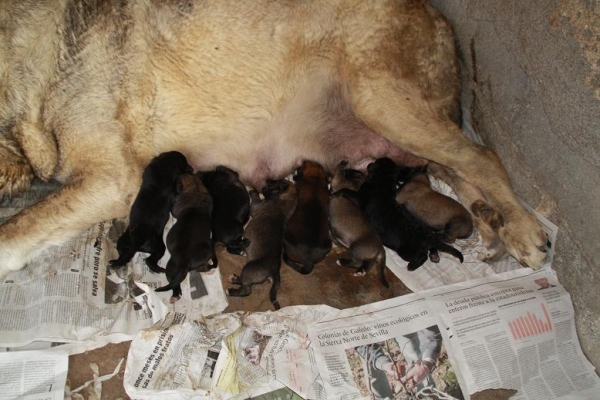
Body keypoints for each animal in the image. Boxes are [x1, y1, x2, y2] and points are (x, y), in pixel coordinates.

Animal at [0, 0, 548, 278]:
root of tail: (444, 23)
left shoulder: (115, 178)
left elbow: (15, 229)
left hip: (380, 98)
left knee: (483, 156)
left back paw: (524, 230)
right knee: (458, 166)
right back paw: (494, 223)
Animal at [156, 173, 217, 304]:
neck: (195, 186)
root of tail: (185, 262)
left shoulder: (176, 207)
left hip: (170, 269)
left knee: (175, 285)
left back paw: (175, 296)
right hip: (203, 255)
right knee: (203, 268)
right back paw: (210, 269)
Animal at [225, 180, 298, 310]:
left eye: (273, 183)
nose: (266, 181)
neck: (286, 199)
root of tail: (274, 270)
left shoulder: (256, 206)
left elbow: (254, 197)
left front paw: (251, 189)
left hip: (248, 269)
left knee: (246, 290)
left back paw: (231, 290)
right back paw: (234, 279)